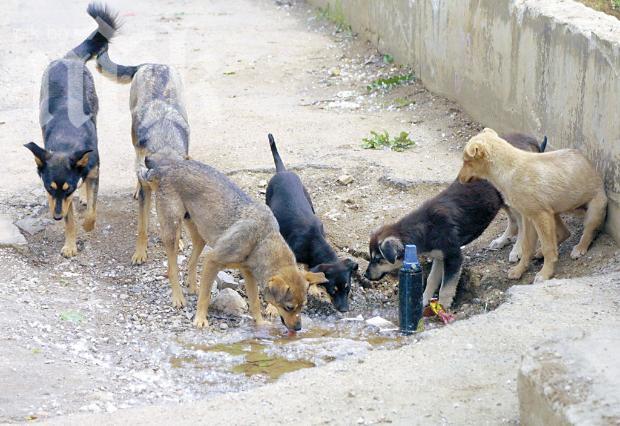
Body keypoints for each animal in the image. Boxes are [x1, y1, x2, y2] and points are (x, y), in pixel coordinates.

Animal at [24, 4, 118, 256]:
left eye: (68, 190)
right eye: (48, 188)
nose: (55, 217)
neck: (68, 141)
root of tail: (69, 58)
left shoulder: (93, 173)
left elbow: (92, 210)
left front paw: (88, 224)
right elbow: (70, 219)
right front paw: (70, 244)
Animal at [94, 41, 190, 266]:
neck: (165, 141)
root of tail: (151, 63)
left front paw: (180, 240)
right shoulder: (148, 188)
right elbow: (142, 227)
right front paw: (140, 253)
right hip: (133, 135)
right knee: (135, 161)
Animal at [138, 158, 326, 332]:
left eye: (303, 306)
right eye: (289, 307)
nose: (299, 329)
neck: (261, 239)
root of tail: (165, 167)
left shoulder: (248, 273)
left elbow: (255, 302)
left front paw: (260, 323)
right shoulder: (212, 261)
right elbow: (205, 297)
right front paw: (200, 320)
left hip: (200, 235)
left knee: (191, 262)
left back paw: (192, 286)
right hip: (173, 232)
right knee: (172, 269)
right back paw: (178, 298)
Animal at [262, 135, 358, 312]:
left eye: (347, 288)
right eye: (333, 290)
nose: (344, 310)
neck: (314, 241)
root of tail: (282, 171)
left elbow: (311, 271)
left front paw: (313, 288)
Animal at [458, 128, 608, 284]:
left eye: (466, 161)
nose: (459, 179)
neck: (509, 169)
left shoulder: (540, 215)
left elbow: (548, 247)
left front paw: (545, 273)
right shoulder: (529, 216)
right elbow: (527, 246)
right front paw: (519, 270)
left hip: (594, 209)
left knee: (589, 231)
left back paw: (579, 248)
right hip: (553, 211)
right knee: (564, 232)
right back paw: (541, 251)